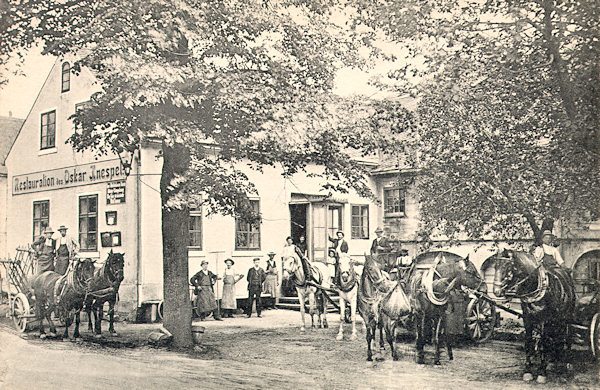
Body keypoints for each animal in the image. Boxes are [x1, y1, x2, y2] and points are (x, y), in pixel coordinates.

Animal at [492, 250, 576, 384]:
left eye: (508, 267)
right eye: (495, 266)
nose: (496, 291)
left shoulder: (545, 320)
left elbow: (542, 344)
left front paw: (542, 373)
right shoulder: (528, 319)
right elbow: (529, 343)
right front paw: (528, 371)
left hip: (567, 316)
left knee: (567, 337)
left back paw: (568, 362)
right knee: (555, 337)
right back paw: (553, 360)